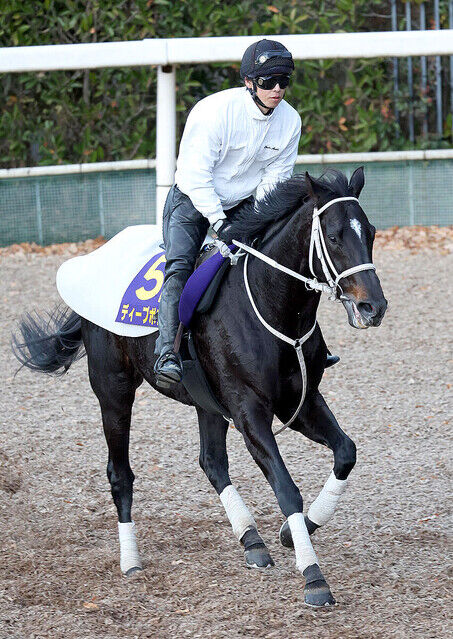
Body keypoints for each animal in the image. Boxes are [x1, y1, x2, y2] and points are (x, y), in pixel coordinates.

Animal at [13, 170, 388, 608]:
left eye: (371, 232)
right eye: (331, 235)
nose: (373, 307)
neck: (270, 306)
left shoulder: (300, 402)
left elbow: (346, 451)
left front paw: (296, 531)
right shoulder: (249, 412)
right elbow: (285, 488)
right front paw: (313, 576)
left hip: (206, 402)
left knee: (212, 462)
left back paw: (251, 539)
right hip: (113, 390)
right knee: (120, 473)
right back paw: (131, 561)